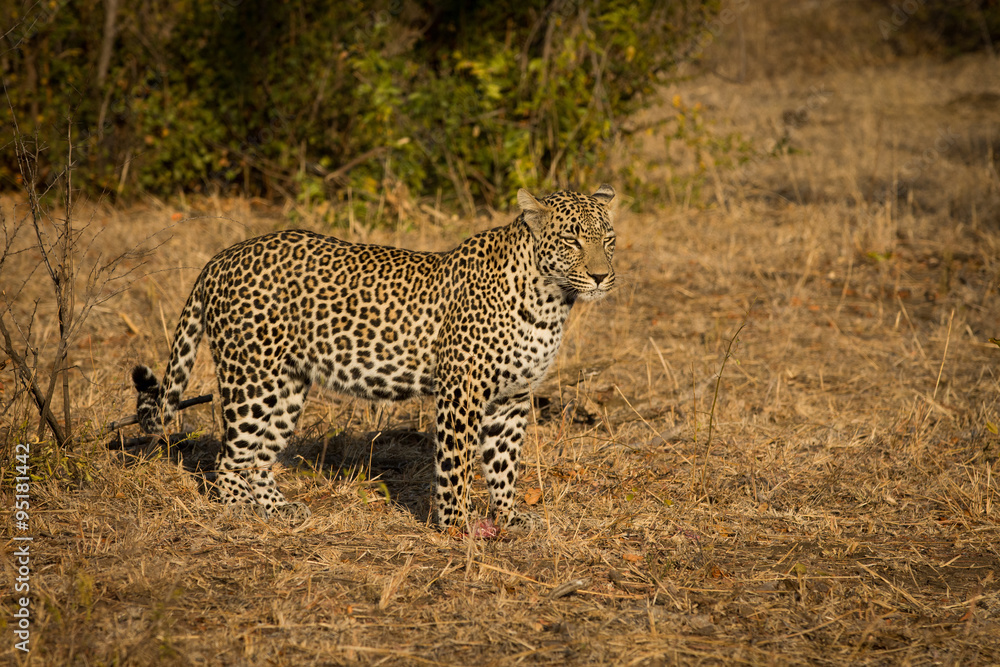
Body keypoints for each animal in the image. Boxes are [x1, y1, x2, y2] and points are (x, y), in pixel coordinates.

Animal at [132, 185, 618, 531]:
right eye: (572, 240)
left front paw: (509, 517)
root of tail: (220, 257)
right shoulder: (461, 390)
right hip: (251, 377)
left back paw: (280, 509)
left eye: (609, 240)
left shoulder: (512, 398)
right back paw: (240, 511)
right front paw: (457, 527)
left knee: (258, 456)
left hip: (286, 386)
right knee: (230, 459)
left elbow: (503, 464)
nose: (601, 277)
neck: (551, 300)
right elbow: (457, 463)